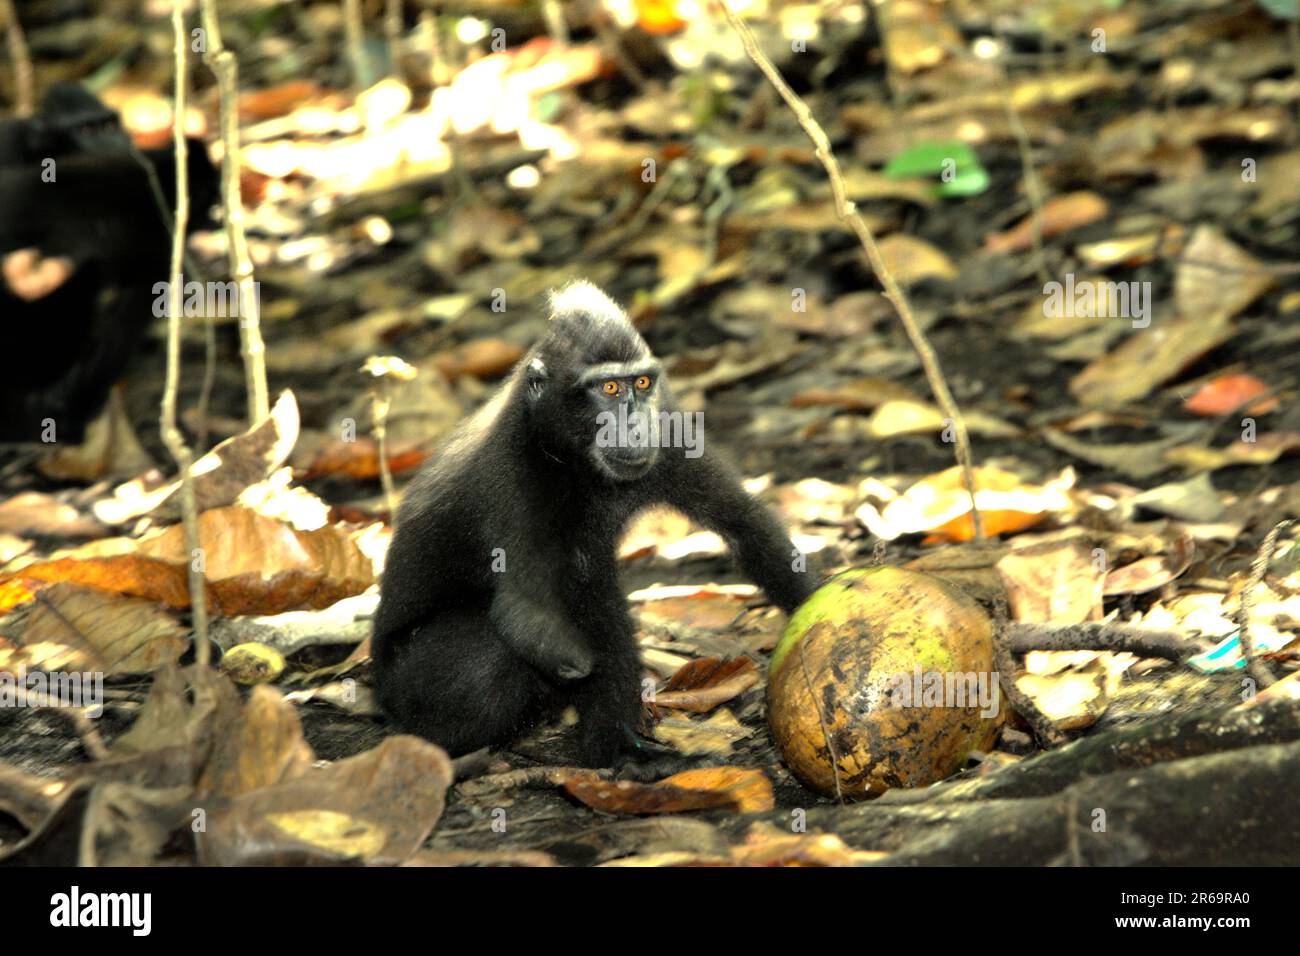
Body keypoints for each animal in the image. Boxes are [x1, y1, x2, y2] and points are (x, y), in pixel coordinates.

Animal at [371, 281, 819, 773]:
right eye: (608, 387)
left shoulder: (670, 431)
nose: (636, 424)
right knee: (493, 650)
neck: (571, 455)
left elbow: (743, 523)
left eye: (641, 383)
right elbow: (528, 616)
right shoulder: (516, 476)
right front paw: (615, 747)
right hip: (405, 682)